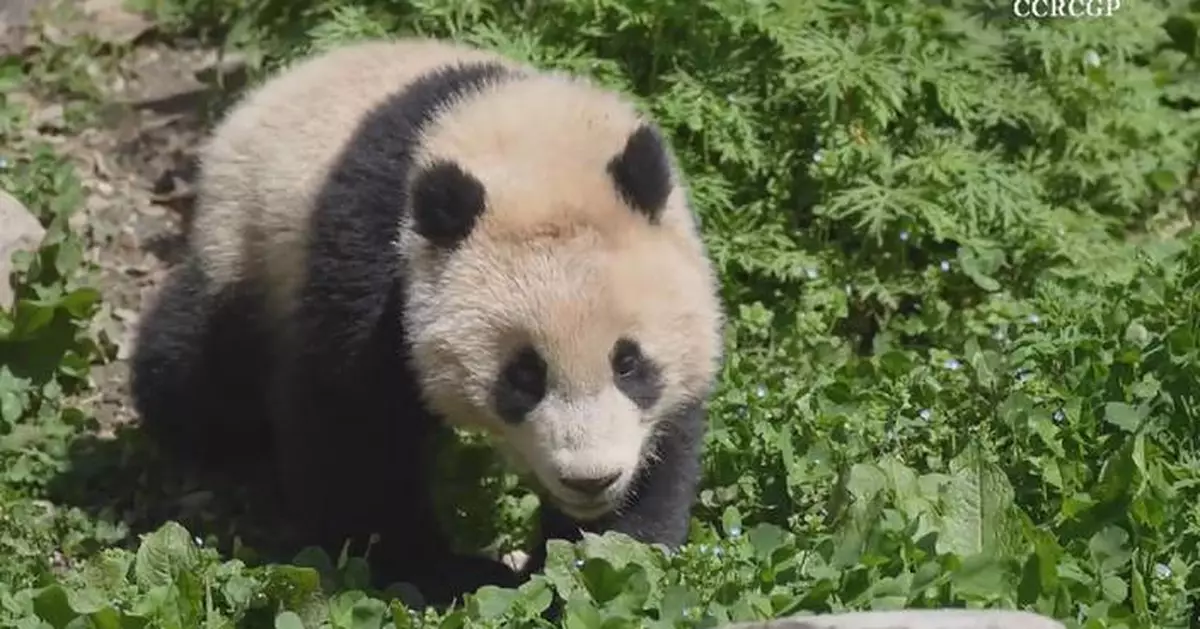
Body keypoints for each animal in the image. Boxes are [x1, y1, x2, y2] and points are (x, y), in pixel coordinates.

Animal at [130, 37, 725, 606]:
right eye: (523, 375)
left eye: (629, 363)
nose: (589, 479)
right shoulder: (376, 255)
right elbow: (354, 428)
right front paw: (444, 574)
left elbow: (657, 462)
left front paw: (591, 567)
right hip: (250, 243)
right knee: (197, 369)